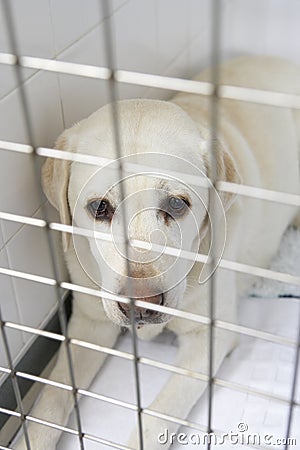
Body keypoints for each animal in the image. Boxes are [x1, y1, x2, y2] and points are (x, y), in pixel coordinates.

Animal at [15, 57, 300, 450]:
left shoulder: (209, 338)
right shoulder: (88, 323)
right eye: (100, 207)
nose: (142, 305)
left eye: (177, 204)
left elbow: (156, 415)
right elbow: (52, 395)